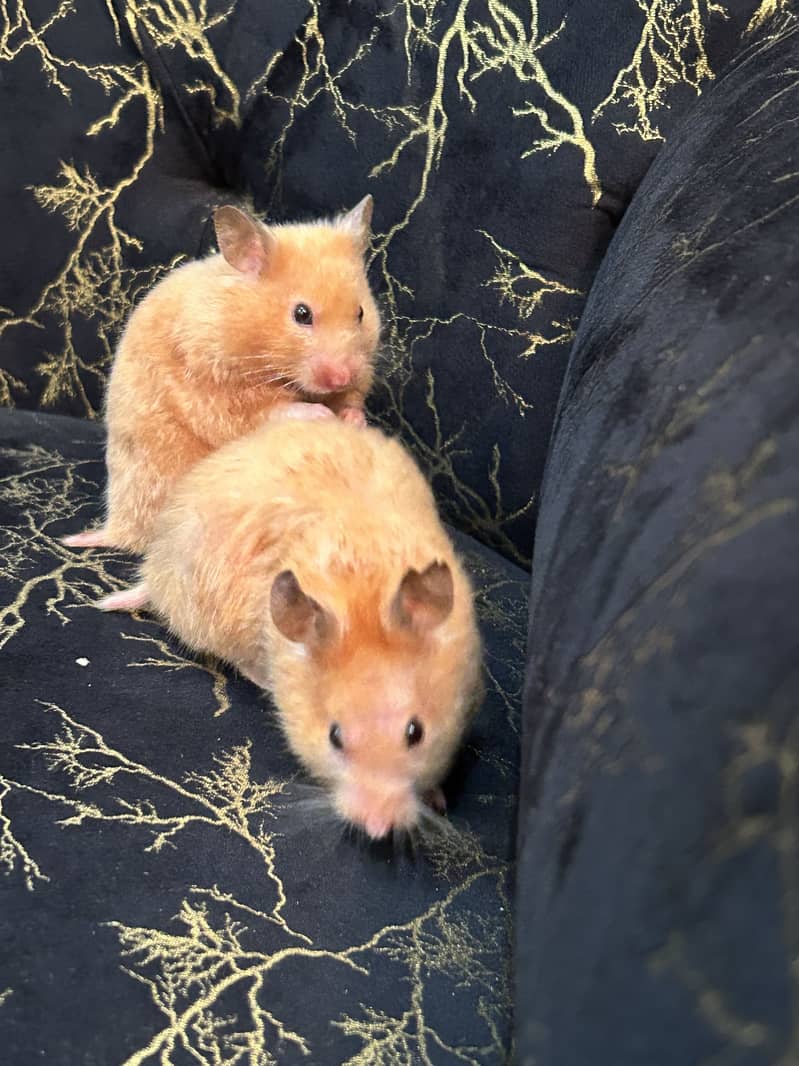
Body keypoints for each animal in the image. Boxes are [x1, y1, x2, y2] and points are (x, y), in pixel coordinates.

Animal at [64, 196, 380, 554]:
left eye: (360, 313)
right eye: (302, 314)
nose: (342, 377)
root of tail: (117, 528)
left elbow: (351, 400)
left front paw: (353, 418)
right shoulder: (215, 389)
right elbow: (270, 410)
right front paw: (321, 414)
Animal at [103, 420, 483, 840]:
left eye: (416, 732)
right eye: (334, 736)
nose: (377, 827)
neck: (364, 592)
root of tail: (156, 574)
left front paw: (437, 798)